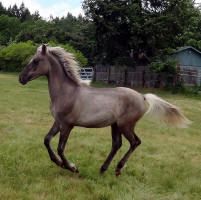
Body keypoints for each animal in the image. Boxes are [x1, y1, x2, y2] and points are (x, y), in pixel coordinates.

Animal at [18, 44, 190, 176]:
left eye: (36, 61)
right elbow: (46, 140)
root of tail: (142, 97)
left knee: (135, 142)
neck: (67, 92)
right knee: (117, 144)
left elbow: (60, 148)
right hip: (115, 125)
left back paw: (118, 168)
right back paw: (103, 168)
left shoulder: (67, 125)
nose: (21, 78)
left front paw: (72, 167)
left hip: (125, 125)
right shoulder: (58, 122)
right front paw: (59, 163)